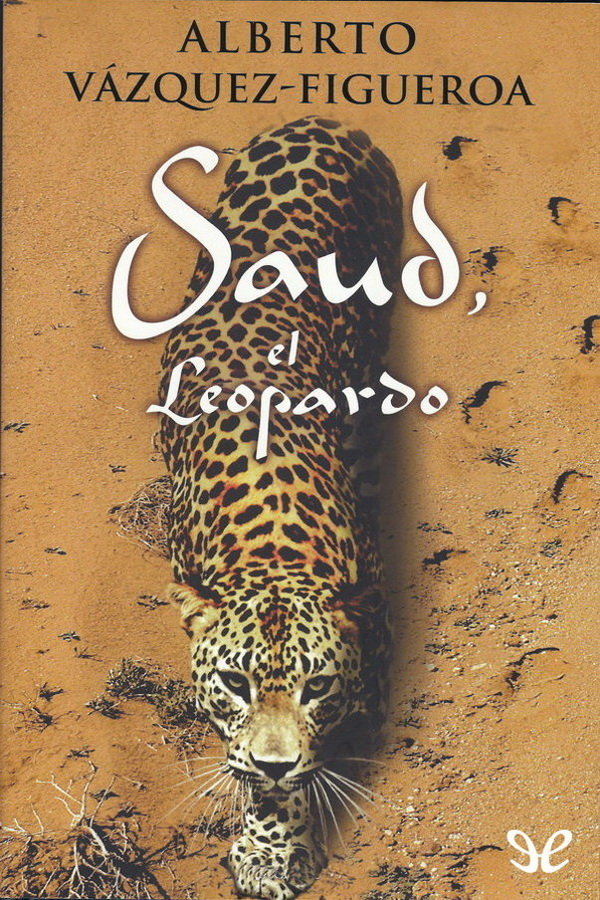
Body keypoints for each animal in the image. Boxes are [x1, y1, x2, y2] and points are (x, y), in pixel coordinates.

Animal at [157, 116, 403, 899]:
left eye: (316, 685)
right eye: (235, 683)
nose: (275, 761)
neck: (273, 546)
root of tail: (324, 122)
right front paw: (268, 839)